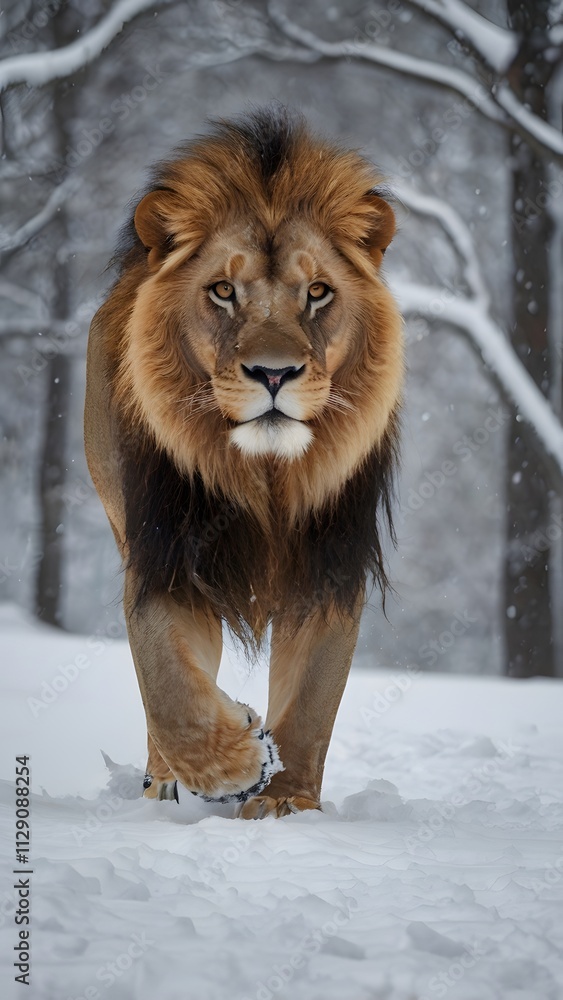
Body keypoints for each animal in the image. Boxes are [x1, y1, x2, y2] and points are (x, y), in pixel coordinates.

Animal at [84, 107, 403, 819]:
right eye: (224, 291)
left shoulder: (331, 561)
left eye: (318, 292)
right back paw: (166, 782)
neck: (267, 479)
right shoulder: (162, 552)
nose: (274, 373)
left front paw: (285, 802)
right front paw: (235, 764)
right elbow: (167, 684)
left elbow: (312, 701)